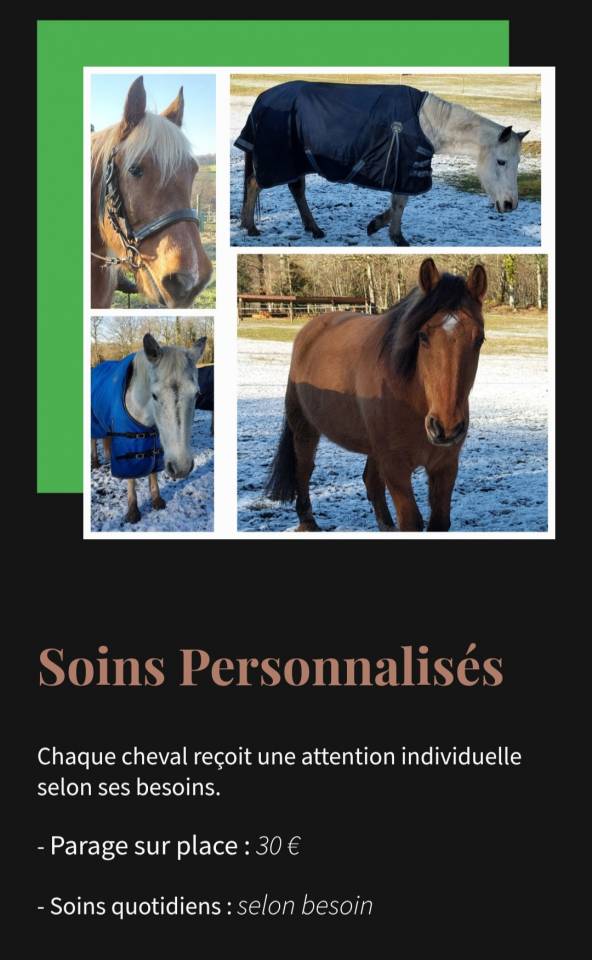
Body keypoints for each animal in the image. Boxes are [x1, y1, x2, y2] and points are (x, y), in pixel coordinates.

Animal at [91, 333, 206, 523]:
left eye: (197, 394)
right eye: (154, 395)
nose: (181, 467)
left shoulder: (155, 443)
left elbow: (153, 472)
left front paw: (157, 499)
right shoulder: (126, 446)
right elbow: (131, 476)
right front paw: (132, 511)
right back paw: (95, 462)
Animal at [235, 81, 529, 245]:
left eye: (517, 163)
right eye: (501, 161)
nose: (510, 205)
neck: (428, 123)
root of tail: (262, 99)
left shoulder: (406, 168)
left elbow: (397, 203)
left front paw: (376, 225)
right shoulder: (405, 166)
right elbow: (400, 203)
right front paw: (396, 237)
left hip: (298, 159)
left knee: (296, 189)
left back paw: (314, 229)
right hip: (279, 158)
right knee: (255, 184)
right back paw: (251, 227)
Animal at [265, 259, 487, 532]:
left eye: (479, 339)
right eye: (423, 336)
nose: (446, 428)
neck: (413, 399)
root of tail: (311, 328)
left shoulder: (445, 466)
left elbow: (439, 521)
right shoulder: (395, 468)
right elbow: (410, 521)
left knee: (370, 481)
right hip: (304, 429)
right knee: (303, 471)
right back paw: (308, 522)